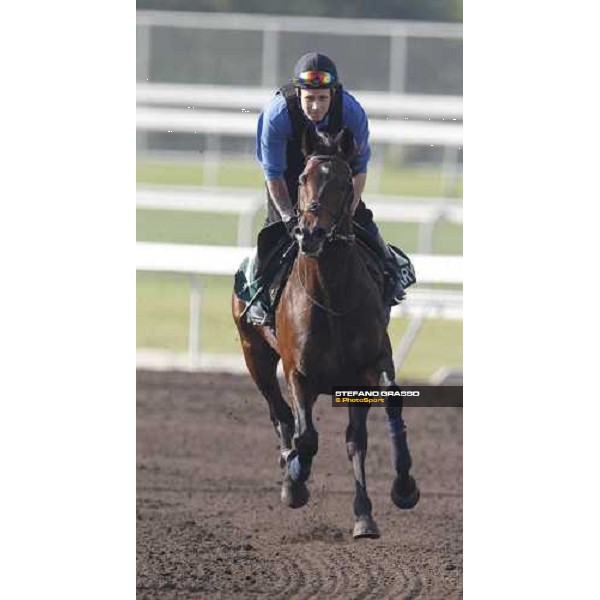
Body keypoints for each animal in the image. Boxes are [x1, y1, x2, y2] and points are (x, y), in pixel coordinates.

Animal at [232, 126, 420, 540]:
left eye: (345, 182)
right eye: (303, 178)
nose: (311, 234)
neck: (332, 296)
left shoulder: (372, 364)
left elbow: (389, 408)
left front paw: (404, 488)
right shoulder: (298, 372)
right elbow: (306, 437)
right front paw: (295, 481)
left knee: (354, 441)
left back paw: (364, 515)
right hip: (254, 354)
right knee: (281, 414)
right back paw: (291, 470)